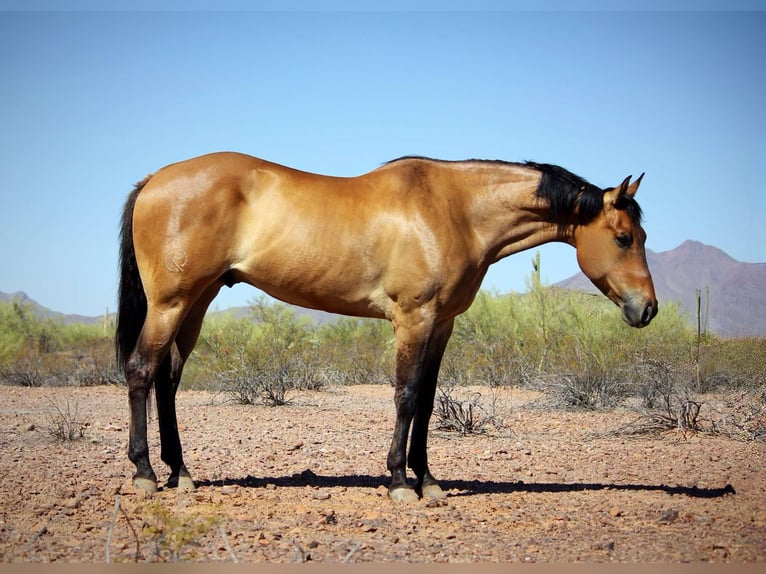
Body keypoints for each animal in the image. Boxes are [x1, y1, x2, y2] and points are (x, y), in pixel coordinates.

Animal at [116, 152, 657, 502]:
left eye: (642, 236)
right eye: (624, 237)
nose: (647, 309)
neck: (455, 210)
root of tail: (154, 179)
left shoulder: (441, 324)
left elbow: (428, 398)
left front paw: (429, 481)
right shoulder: (413, 318)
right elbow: (405, 395)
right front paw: (399, 481)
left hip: (197, 302)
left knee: (167, 379)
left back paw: (180, 472)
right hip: (170, 303)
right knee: (141, 370)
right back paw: (145, 473)